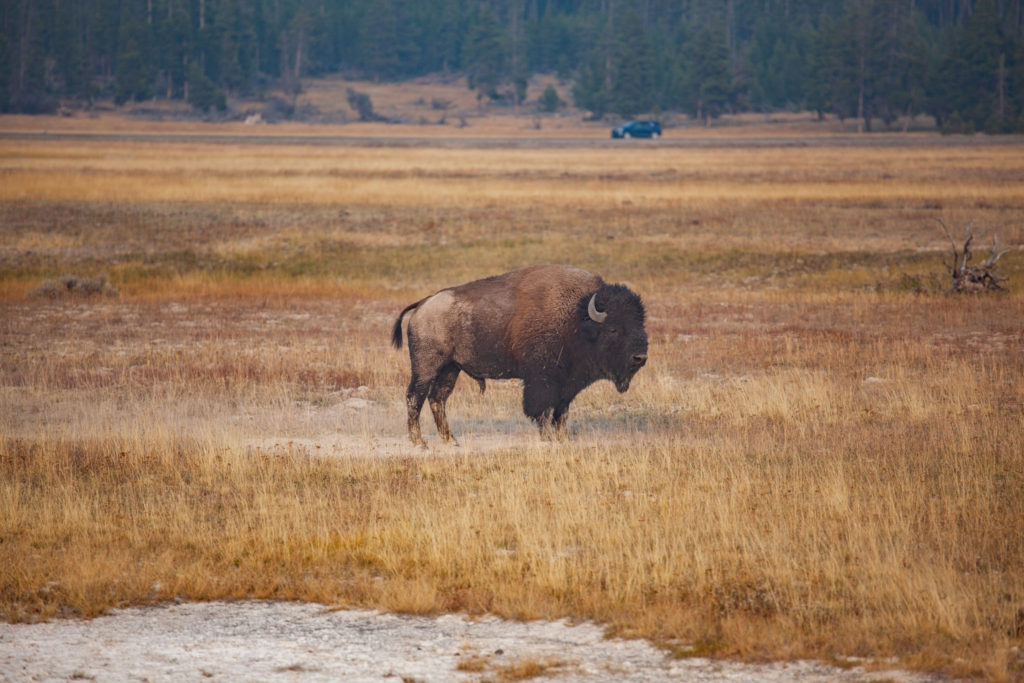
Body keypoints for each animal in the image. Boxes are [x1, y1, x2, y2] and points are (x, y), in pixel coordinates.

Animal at [391, 266, 647, 448]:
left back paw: (451, 440)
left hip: (450, 368)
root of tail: (423, 304)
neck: (577, 317)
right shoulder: (542, 381)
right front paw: (548, 438)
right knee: (415, 397)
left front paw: (563, 438)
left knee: (438, 399)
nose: (640, 357)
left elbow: (561, 413)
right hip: (426, 367)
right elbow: (542, 411)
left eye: (640, 323)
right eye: (613, 329)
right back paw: (420, 442)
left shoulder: (567, 386)